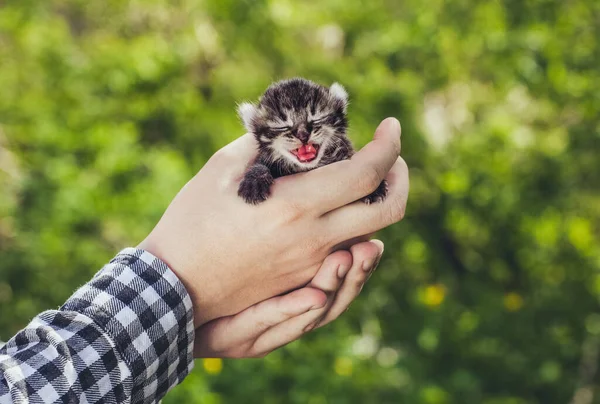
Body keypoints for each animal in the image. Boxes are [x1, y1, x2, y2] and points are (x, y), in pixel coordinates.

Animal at [237, 77, 386, 205]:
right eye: (282, 126)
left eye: (316, 118)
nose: (303, 135)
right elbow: (260, 164)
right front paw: (255, 180)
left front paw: (375, 189)